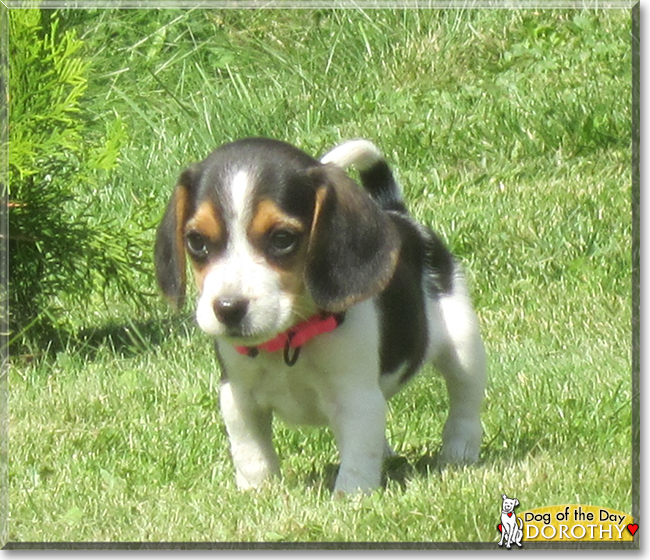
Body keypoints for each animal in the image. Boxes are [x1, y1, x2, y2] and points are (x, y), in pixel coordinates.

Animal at [154, 139, 484, 494]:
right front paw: (257, 493)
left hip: (463, 345)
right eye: (196, 241)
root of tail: (399, 215)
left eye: (282, 239)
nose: (228, 308)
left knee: (464, 401)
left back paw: (459, 451)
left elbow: (358, 455)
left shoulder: (356, 397)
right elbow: (251, 451)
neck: (291, 336)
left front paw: (351, 496)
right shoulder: (237, 395)